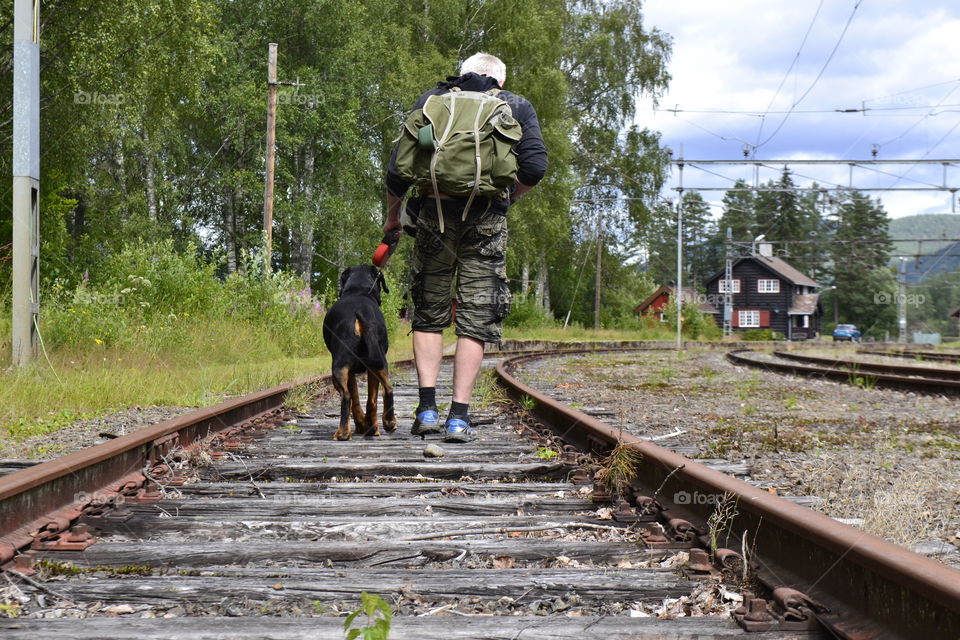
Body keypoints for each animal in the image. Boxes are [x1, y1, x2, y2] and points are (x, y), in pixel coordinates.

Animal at [324, 264, 396, 440]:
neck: (358, 290)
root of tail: (361, 312)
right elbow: (370, 400)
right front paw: (371, 427)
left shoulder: (349, 372)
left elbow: (355, 398)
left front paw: (361, 424)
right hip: (378, 363)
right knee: (386, 390)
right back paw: (387, 423)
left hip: (339, 366)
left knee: (346, 397)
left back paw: (342, 433)